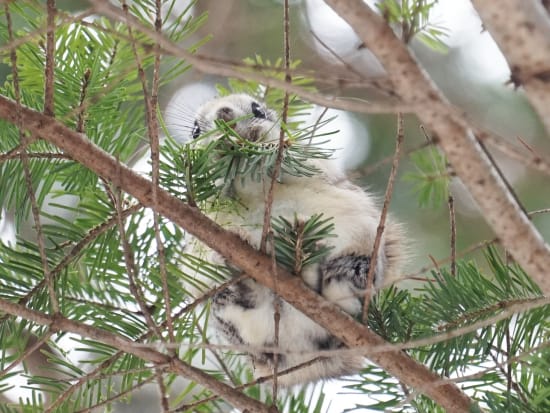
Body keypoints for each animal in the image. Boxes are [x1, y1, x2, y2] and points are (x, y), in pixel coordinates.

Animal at [185, 93, 406, 386]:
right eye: (195, 131)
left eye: (257, 109)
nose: (224, 114)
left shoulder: (314, 164)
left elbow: (290, 159)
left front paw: (263, 145)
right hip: (221, 307)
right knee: (247, 323)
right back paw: (238, 275)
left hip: (364, 246)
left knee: (349, 282)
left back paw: (326, 279)